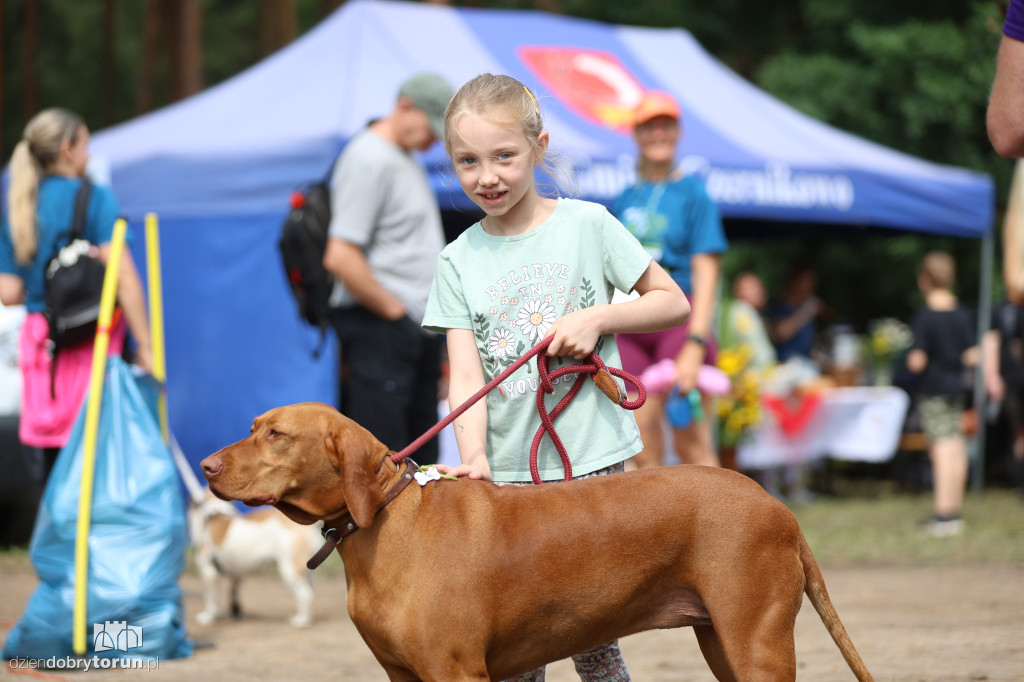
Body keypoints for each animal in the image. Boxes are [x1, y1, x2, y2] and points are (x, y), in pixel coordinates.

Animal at [188, 489, 321, 626]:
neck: (215, 515)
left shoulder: (208, 572)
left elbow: (210, 598)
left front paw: (208, 617)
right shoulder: (237, 573)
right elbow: (233, 593)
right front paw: (234, 612)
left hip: (290, 570)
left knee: (305, 594)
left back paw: (301, 620)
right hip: (308, 572)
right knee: (312, 592)